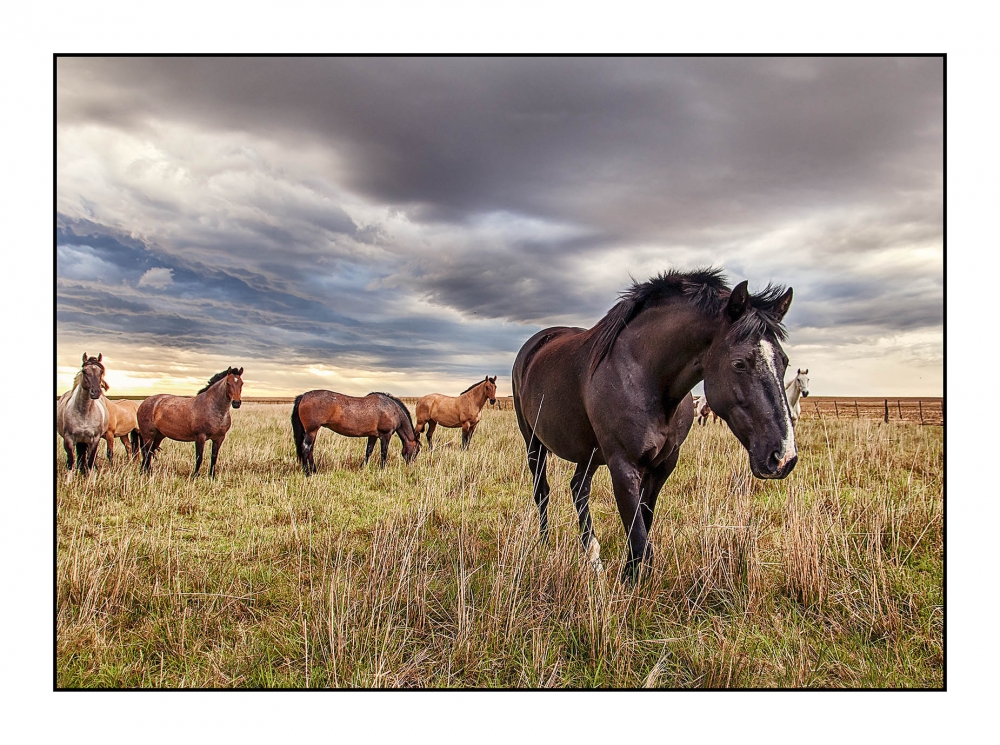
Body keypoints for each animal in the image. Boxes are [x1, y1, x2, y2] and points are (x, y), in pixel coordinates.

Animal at [292, 390, 426, 470]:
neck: (392, 410)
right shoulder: (385, 435)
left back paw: (313, 470)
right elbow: (384, 453)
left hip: (312, 432)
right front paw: (382, 469)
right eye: (417, 450)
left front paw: (363, 467)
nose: (411, 465)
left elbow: (368, 451)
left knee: (310, 450)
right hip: (311, 431)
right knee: (306, 449)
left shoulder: (373, 435)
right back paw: (307, 473)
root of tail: (303, 396)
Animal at [516, 268, 796, 580]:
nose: (783, 457)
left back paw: (592, 557)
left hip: (589, 453)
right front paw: (630, 583)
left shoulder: (663, 465)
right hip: (534, 442)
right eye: (739, 363)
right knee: (542, 492)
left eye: (784, 361)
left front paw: (628, 575)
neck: (643, 374)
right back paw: (544, 544)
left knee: (579, 489)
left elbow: (642, 527)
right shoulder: (623, 466)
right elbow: (640, 544)